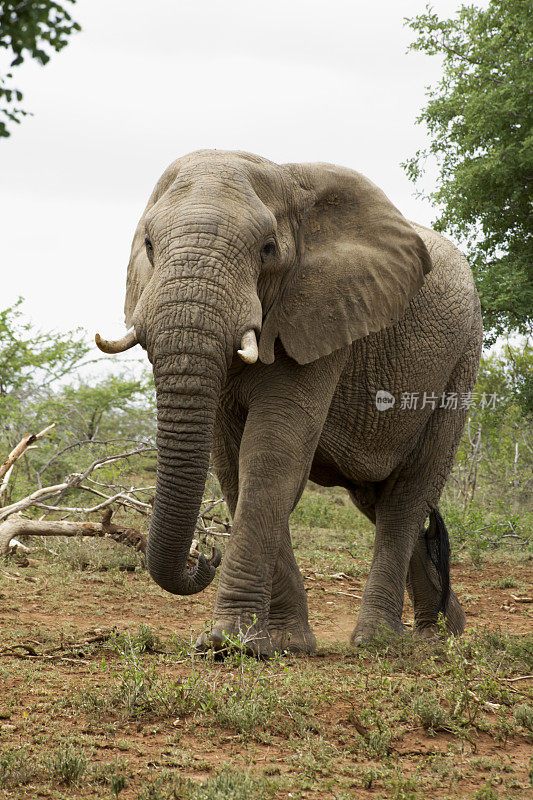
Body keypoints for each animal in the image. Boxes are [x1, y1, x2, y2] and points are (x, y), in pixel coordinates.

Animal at [95, 150, 482, 656]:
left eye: (267, 249)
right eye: (149, 245)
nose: (206, 555)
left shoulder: (324, 310)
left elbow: (272, 453)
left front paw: (229, 643)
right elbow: (232, 463)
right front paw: (284, 644)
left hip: (460, 362)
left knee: (406, 498)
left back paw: (378, 641)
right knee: (380, 500)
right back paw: (442, 633)